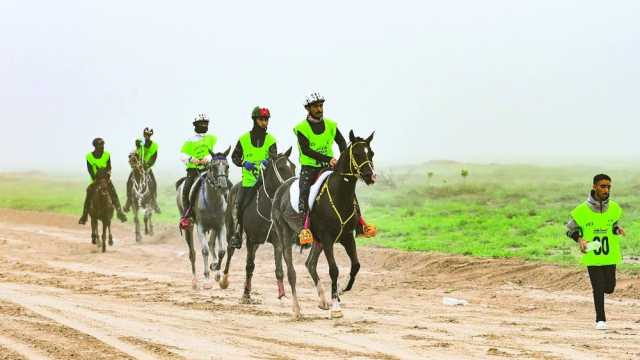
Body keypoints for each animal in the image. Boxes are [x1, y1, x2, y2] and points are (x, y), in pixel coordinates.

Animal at [222, 148, 298, 302]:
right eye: (281, 167)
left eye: (293, 166)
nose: (291, 188)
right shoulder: (251, 239)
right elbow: (249, 266)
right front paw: (246, 294)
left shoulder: (277, 241)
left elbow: (279, 270)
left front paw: (282, 295)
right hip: (231, 231)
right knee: (230, 251)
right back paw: (224, 280)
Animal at [272, 131, 376, 320]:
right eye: (357, 153)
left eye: (370, 153)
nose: (370, 176)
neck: (339, 194)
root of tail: (281, 189)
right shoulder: (328, 239)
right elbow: (333, 270)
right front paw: (336, 307)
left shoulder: (347, 237)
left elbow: (356, 265)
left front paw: (341, 290)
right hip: (285, 234)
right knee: (291, 271)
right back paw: (297, 309)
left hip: (317, 241)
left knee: (310, 264)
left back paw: (322, 300)